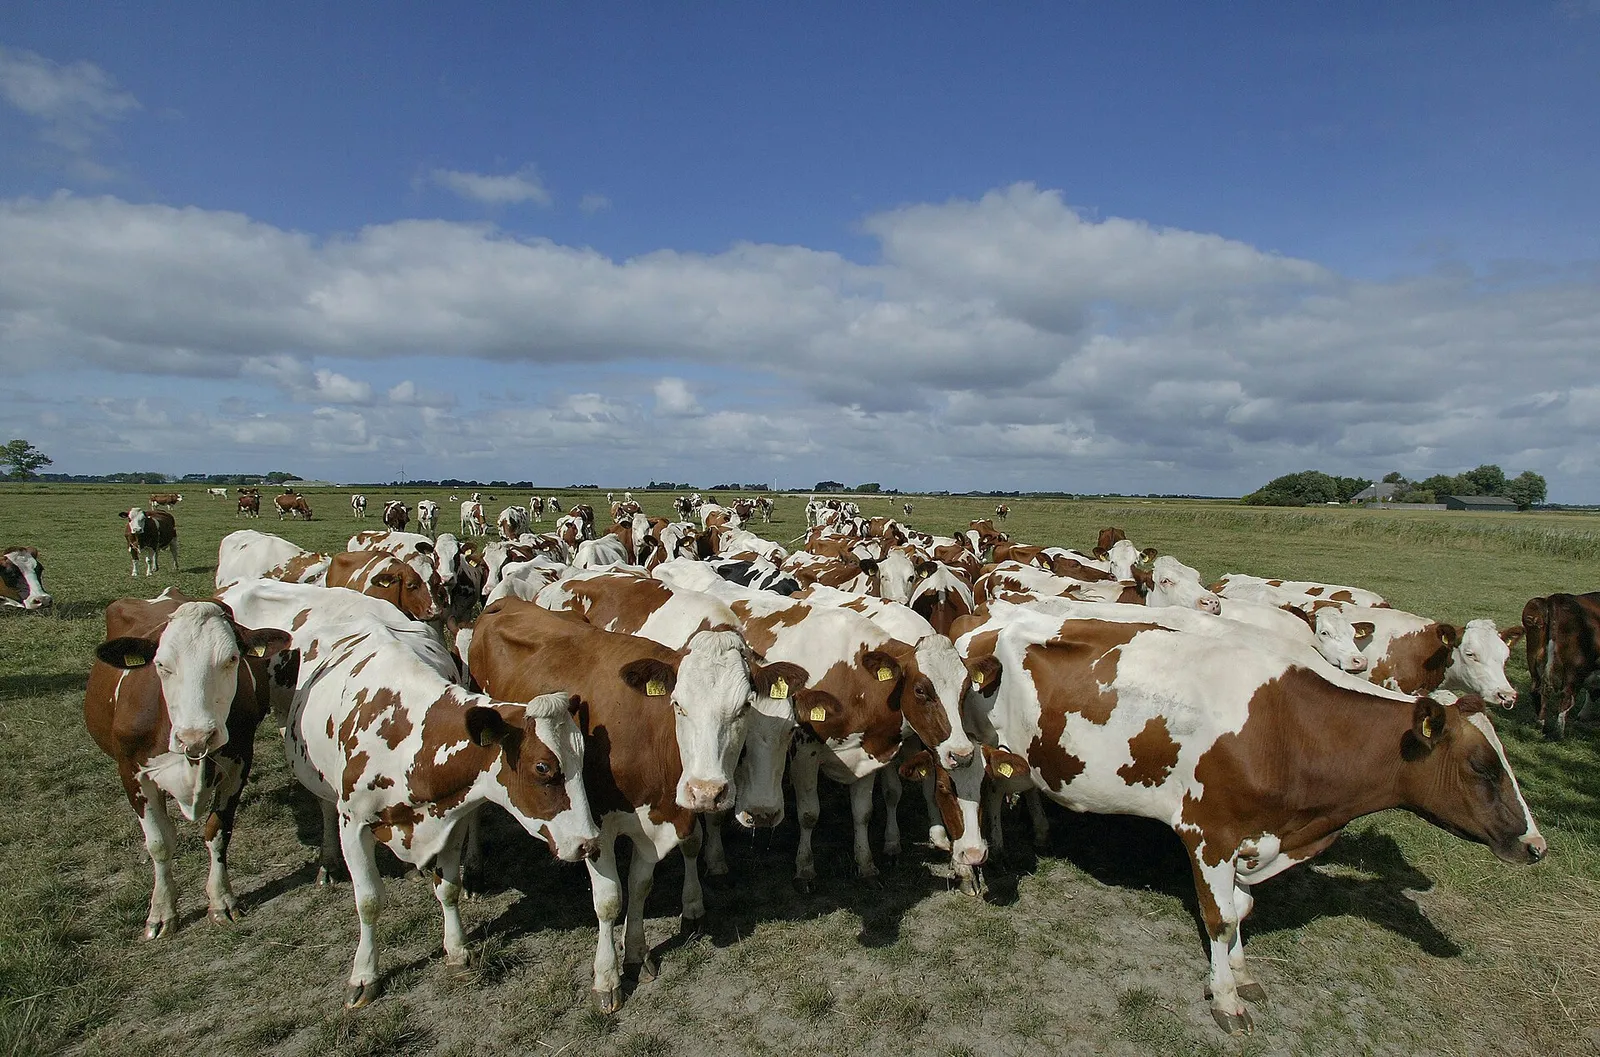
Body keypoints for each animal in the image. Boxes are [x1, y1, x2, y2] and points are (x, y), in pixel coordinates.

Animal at [85, 595, 291, 938]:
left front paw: (221, 901)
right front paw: (161, 912)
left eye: (232, 659)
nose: (197, 736)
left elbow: (218, 831)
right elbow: (159, 843)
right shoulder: (131, 772)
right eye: (161, 665)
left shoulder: (238, 764)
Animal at [275, 608, 598, 1007]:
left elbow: (448, 888)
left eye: (583, 760)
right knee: (323, 806)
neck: (413, 742)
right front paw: (364, 975)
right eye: (542, 767)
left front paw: (457, 951)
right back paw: (329, 863)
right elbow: (368, 900)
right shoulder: (353, 823)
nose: (588, 842)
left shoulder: (450, 817)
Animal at [470, 599, 784, 1011]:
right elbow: (608, 900)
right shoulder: (596, 826)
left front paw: (635, 952)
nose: (706, 791)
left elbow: (639, 886)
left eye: (745, 706)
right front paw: (607, 978)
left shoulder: (657, 822)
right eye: (678, 705)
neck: (649, 739)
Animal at [959, 604, 1544, 1033]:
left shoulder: (1255, 834)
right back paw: (987, 856)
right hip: (982, 751)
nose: (1535, 845)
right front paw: (1224, 998)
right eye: (1483, 766)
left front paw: (1241, 973)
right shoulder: (1208, 832)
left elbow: (1242, 908)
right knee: (984, 793)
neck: (1290, 726)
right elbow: (1219, 918)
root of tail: (987, 618)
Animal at [1522, 592, 1600, 738]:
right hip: (1573, 670)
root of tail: (1556, 598)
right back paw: (1559, 733)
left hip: (1533, 659)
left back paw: (1541, 724)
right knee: (1566, 697)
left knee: (1537, 689)